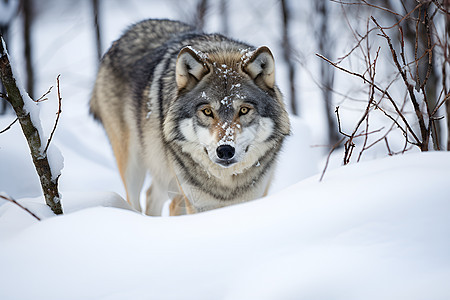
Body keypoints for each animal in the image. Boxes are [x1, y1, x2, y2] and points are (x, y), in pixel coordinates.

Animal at [89, 19, 290, 216]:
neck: (226, 184)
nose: (225, 150)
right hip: (134, 166)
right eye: (207, 111)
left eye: (244, 110)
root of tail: (125, 34)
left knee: (152, 195)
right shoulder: (196, 205)